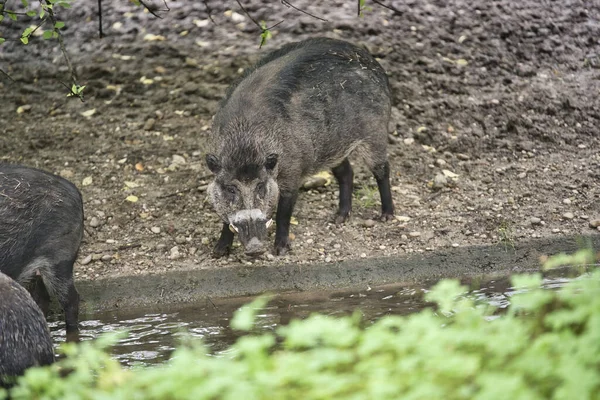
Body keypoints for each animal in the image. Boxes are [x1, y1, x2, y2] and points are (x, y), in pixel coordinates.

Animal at [205, 37, 394, 256]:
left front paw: (280, 251)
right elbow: (226, 218)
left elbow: (283, 214)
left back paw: (387, 216)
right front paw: (218, 252)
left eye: (261, 186)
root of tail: (375, 65)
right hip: (332, 148)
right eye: (230, 189)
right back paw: (338, 218)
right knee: (346, 172)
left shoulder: (292, 173)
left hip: (375, 132)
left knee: (382, 170)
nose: (255, 247)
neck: (245, 144)